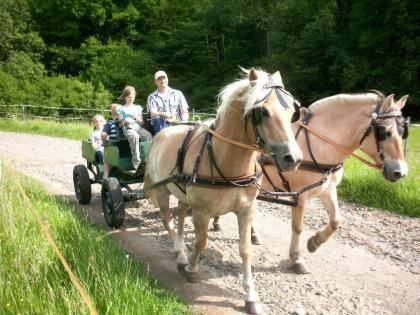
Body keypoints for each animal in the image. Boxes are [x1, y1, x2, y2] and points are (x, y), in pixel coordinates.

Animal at [144, 68, 302, 314]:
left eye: (292, 112)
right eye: (263, 111)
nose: (293, 159)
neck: (227, 160)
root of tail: (163, 133)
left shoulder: (247, 210)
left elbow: (245, 249)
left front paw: (251, 296)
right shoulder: (202, 212)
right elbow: (202, 241)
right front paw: (192, 268)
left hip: (183, 194)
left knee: (180, 216)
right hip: (161, 191)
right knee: (167, 220)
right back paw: (181, 255)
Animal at [215, 91, 408, 274]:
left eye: (403, 132)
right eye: (385, 132)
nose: (400, 172)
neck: (319, 145)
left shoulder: (328, 190)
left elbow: (336, 220)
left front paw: (315, 242)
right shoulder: (299, 195)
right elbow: (298, 227)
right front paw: (297, 259)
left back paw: (245, 231)